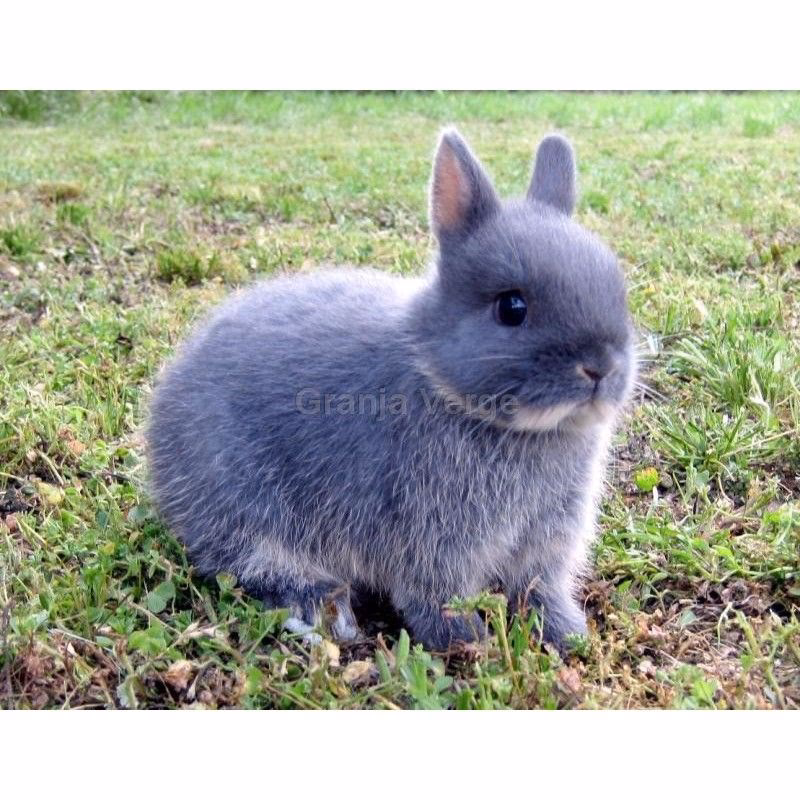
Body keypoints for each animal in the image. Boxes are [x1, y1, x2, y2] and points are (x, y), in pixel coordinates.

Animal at [146, 128, 636, 651]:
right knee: (252, 561)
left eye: (617, 286)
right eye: (512, 308)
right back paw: (324, 609)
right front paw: (466, 641)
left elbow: (539, 588)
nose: (601, 367)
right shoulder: (430, 535)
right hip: (240, 501)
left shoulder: (545, 540)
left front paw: (568, 634)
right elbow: (434, 595)